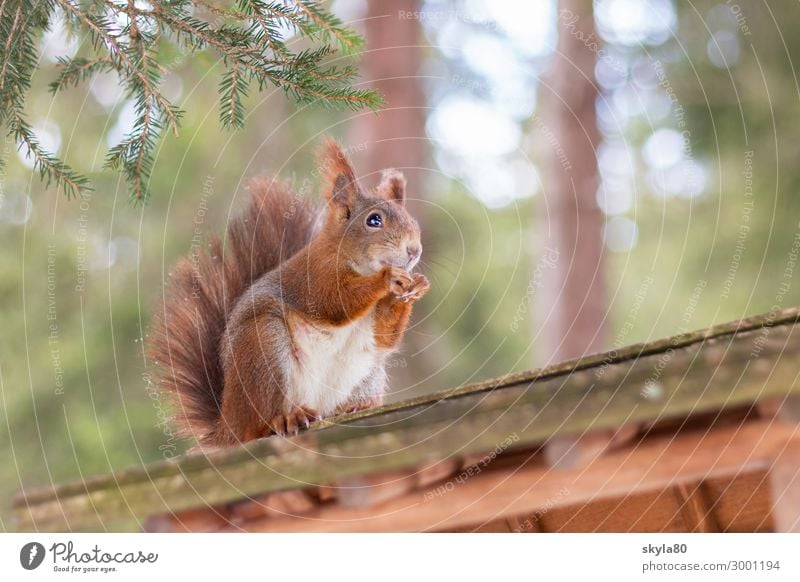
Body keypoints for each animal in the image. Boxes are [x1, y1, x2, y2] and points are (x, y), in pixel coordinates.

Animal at [148, 139, 428, 450]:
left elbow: (384, 336)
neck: (343, 253)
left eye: (412, 221)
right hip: (264, 348)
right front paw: (388, 278)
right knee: (256, 428)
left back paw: (355, 407)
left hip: (369, 372)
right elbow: (334, 302)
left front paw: (415, 286)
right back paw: (284, 419)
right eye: (374, 220)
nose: (414, 251)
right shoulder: (314, 277)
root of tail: (227, 426)